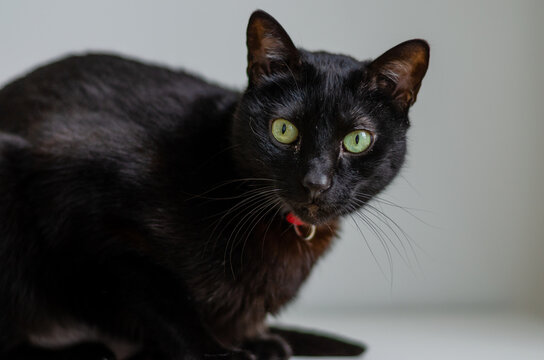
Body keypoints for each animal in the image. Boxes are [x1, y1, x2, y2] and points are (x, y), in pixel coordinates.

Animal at [0, 9, 430, 360]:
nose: (315, 181)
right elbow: (164, 302)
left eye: (356, 140)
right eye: (284, 130)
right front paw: (218, 353)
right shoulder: (89, 224)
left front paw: (255, 340)